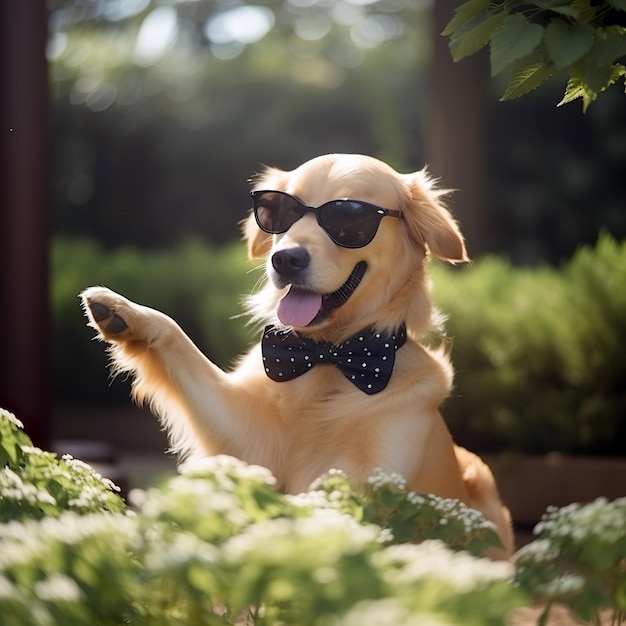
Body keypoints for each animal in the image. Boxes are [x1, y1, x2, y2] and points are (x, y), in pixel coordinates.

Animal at [80, 151, 512, 556]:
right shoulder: (251, 439)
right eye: (280, 212)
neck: (327, 357)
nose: (285, 259)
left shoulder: (371, 478)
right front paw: (124, 311)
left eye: (350, 218)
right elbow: (179, 339)